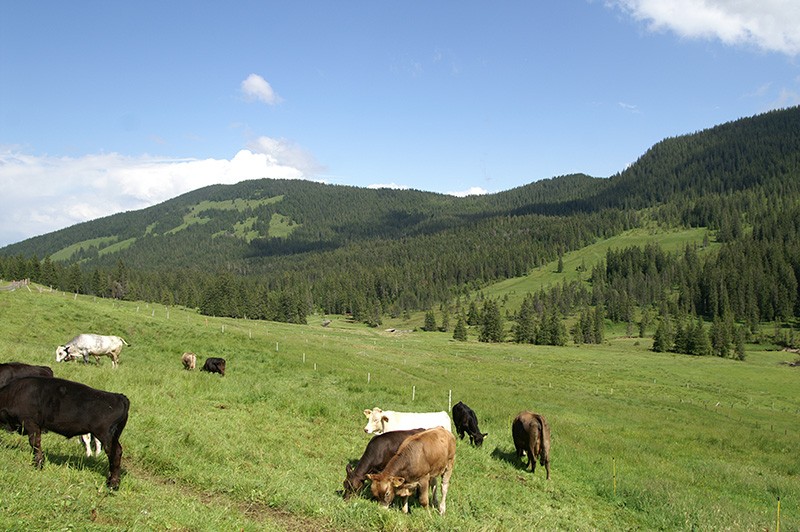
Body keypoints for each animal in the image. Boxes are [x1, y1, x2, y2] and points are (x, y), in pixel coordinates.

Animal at [0, 376, 130, 488]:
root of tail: (118, 396)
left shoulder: (30, 423)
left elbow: (35, 444)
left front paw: (37, 464)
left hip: (105, 436)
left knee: (114, 453)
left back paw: (113, 484)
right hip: (114, 436)